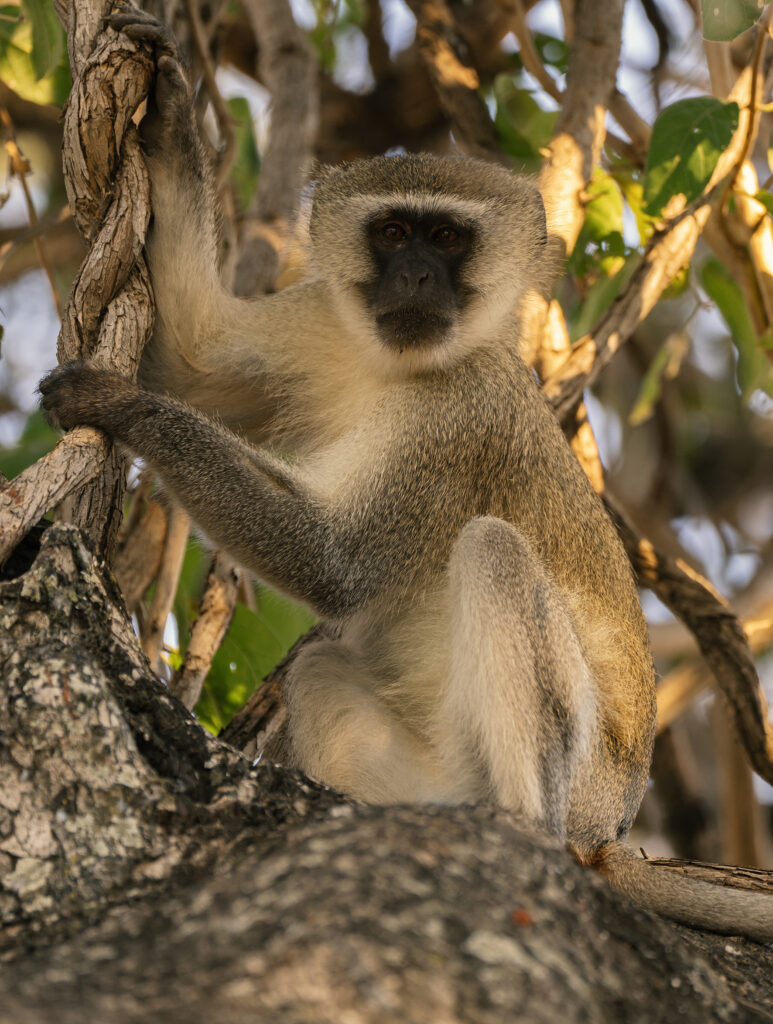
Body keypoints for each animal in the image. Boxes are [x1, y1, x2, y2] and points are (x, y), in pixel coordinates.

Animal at [39, 9, 772, 943]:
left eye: (448, 238)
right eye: (391, 233)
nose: (416, 276)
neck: (398, 370)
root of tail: (610, 835)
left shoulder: (457, 418)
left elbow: (334, 565)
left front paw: (123, 406)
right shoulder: (319, 325)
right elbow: (193, 359)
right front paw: (167, 111)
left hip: (582, 788)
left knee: (493, 553)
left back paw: (523, 832)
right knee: (321, 672)